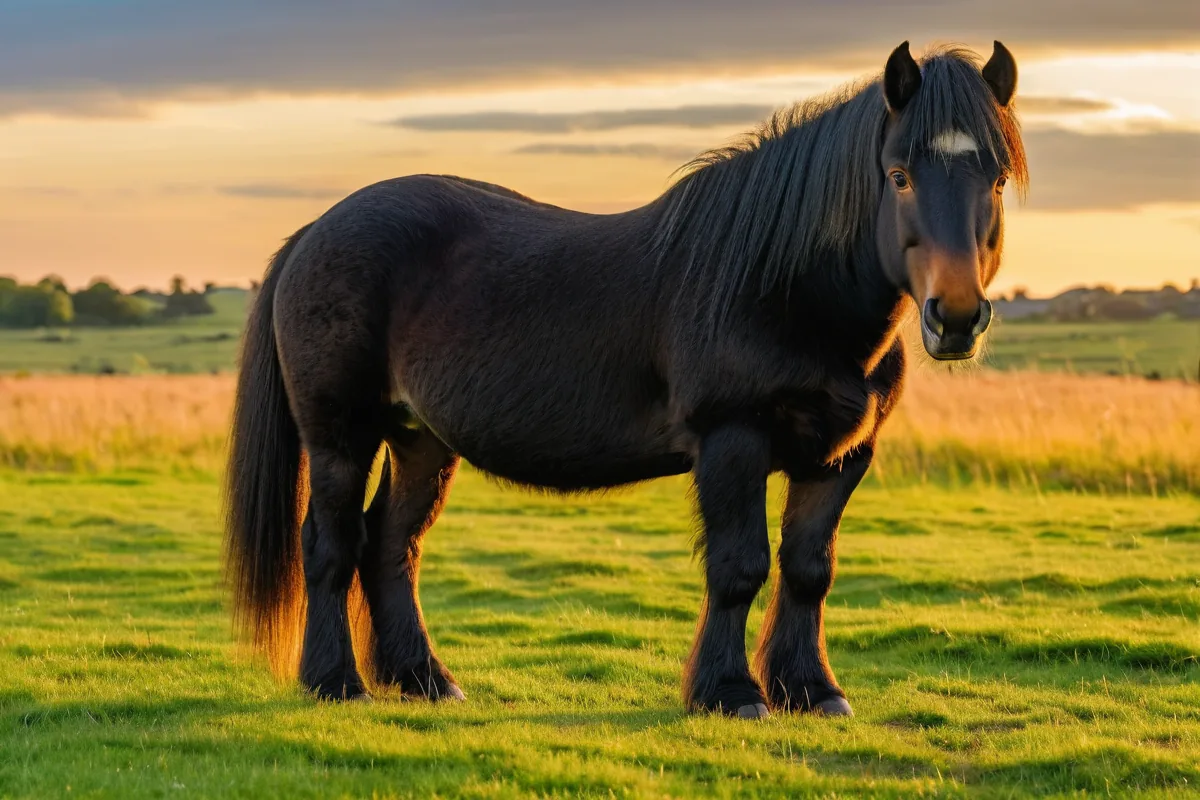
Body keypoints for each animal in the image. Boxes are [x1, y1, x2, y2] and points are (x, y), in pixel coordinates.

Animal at [225, 41, 1027, 719]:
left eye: (994, 178)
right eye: (898, 175)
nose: (956, 316)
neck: (781, 289)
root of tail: (315, 232)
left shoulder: (839, 458)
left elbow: (807, 569)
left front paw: (813, 692)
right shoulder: (732, 443)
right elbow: (738, 567)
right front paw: (731, 693)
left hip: (420, 439)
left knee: (391, 547)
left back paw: (425, 681)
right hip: (340, 436)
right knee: (330, 544)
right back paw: (336, 683)